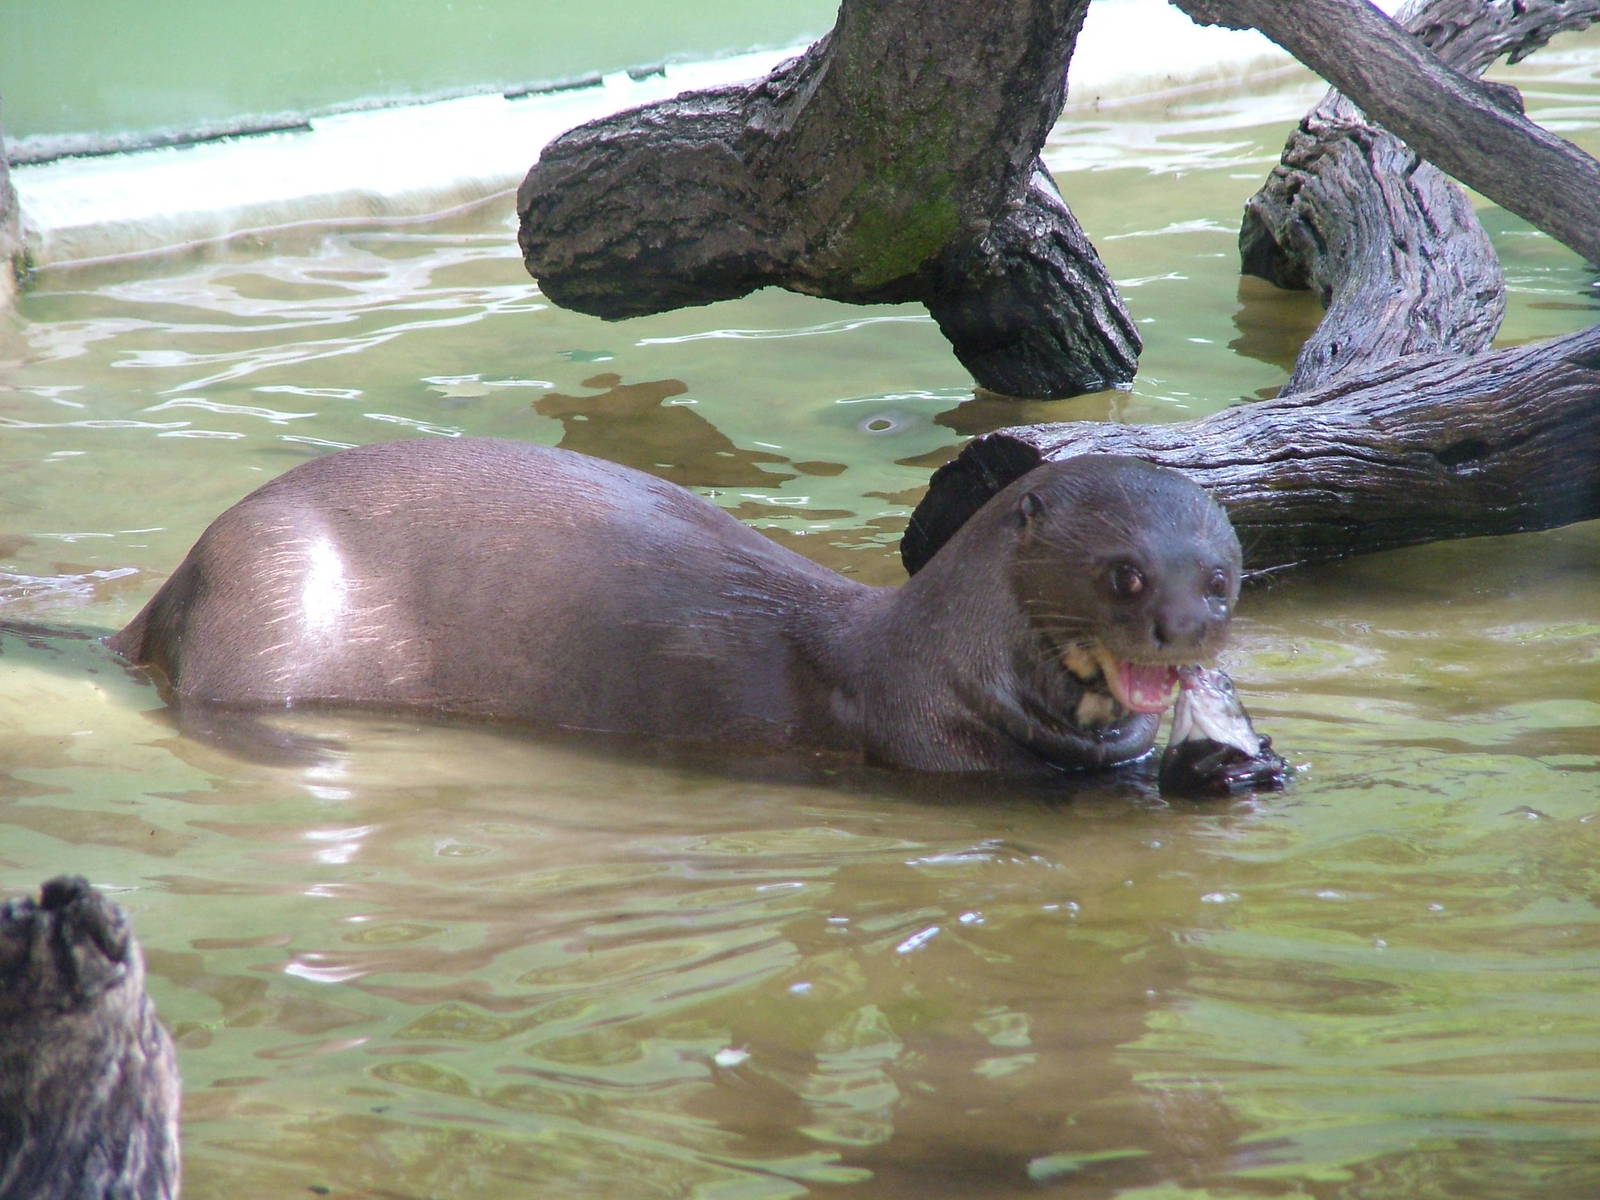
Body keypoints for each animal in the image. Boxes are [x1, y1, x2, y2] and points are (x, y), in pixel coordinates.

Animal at [110, 438, 1244, 779]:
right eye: (1123, 573)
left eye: (1221, 578)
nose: (1185, 630)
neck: (919, 657)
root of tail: (185, 570)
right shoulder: (941, 744)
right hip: (274, 588)